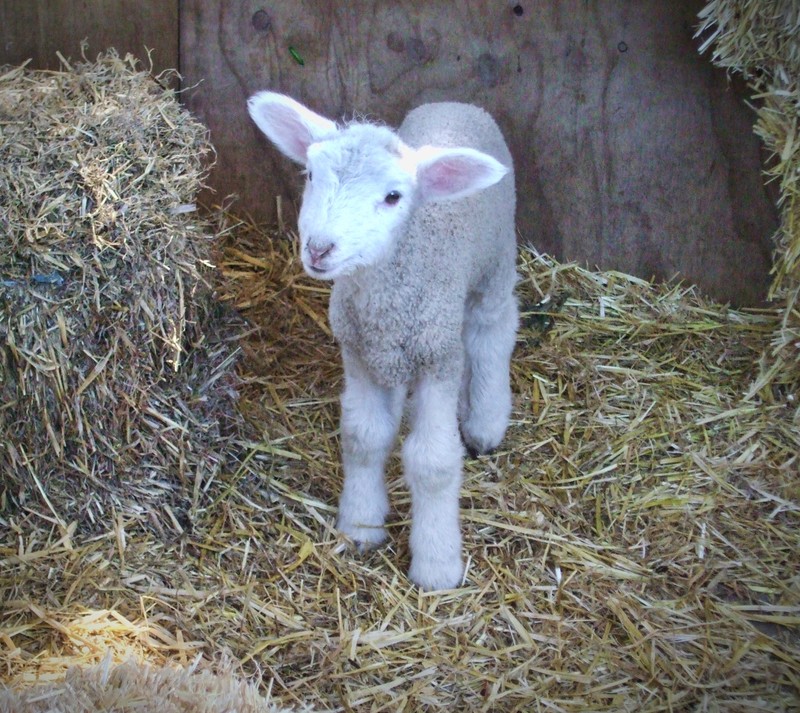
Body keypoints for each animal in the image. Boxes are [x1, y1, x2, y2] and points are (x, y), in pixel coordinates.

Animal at [247, 92, 516, 588]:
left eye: (393, 197)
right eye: (310, 174)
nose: (319, 248)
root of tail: (455, 102)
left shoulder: (435, 359)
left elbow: (434, 463)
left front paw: (436, 567)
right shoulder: (360, 353)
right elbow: (364, 437)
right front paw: (361, 525)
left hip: (495, 259)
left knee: (492, 328)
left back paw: (486, 419)